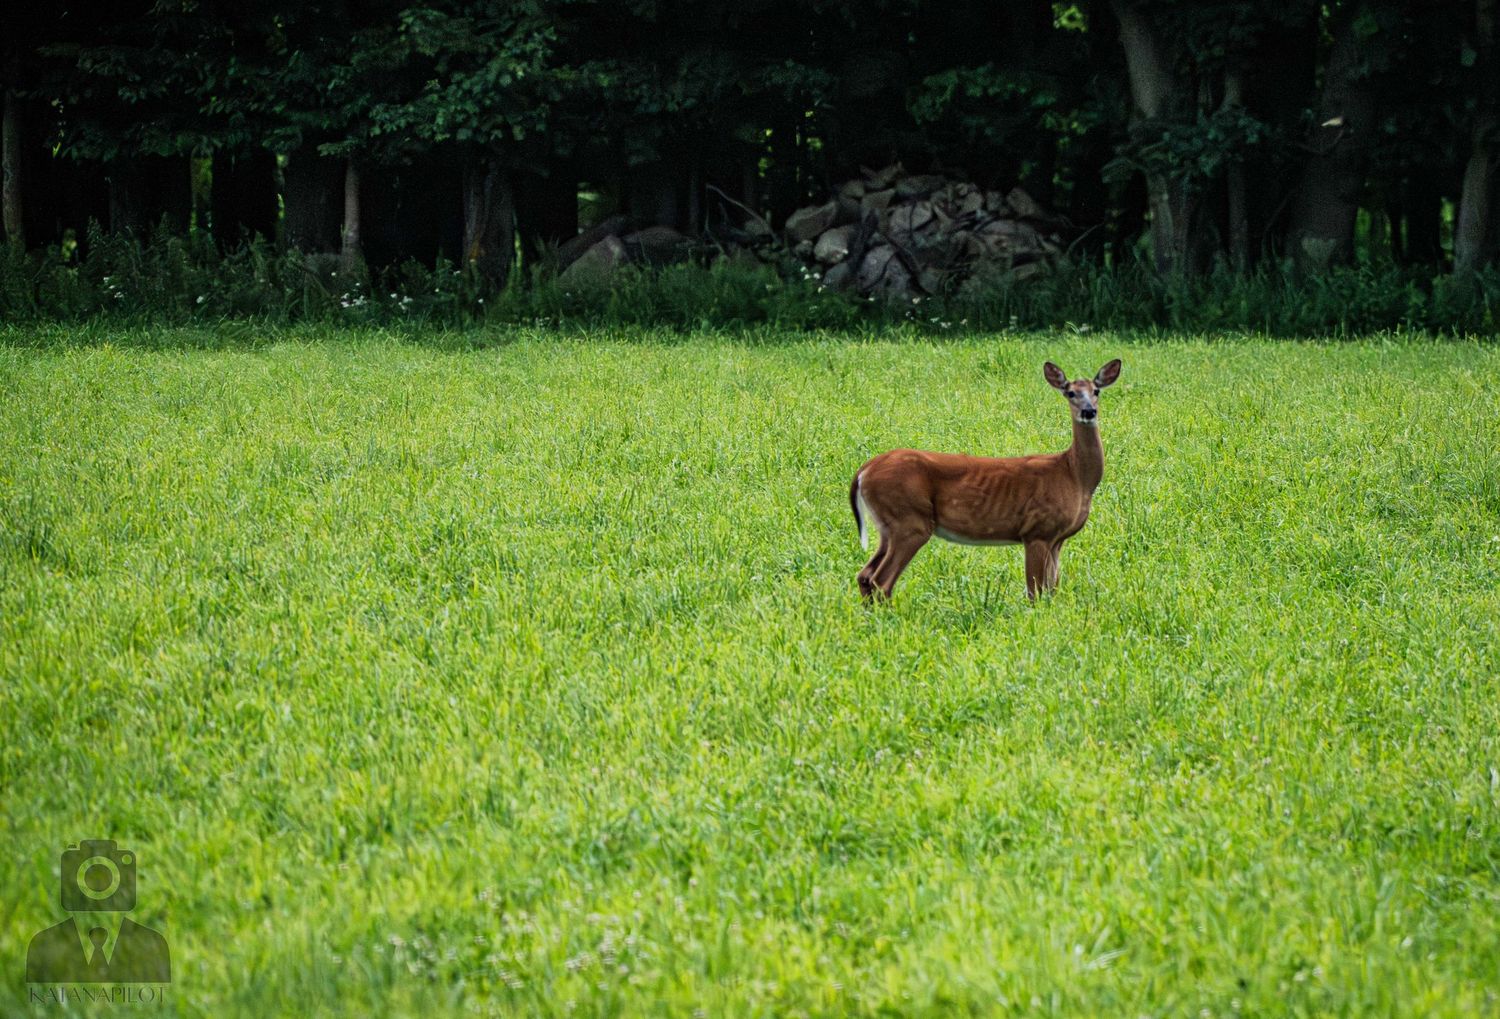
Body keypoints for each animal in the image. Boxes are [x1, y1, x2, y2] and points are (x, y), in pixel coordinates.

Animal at [849, 358, 1121, 601]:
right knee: (881, 581)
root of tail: (865, 470)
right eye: (1070, 392)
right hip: (909, 520)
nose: (1089, 411)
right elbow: (1035, 593)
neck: (1074, 475)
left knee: (864, 575)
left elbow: (1052, 590)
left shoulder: (1057, 539)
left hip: (888, 526)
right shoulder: (1037, 530)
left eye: (1096, 390)